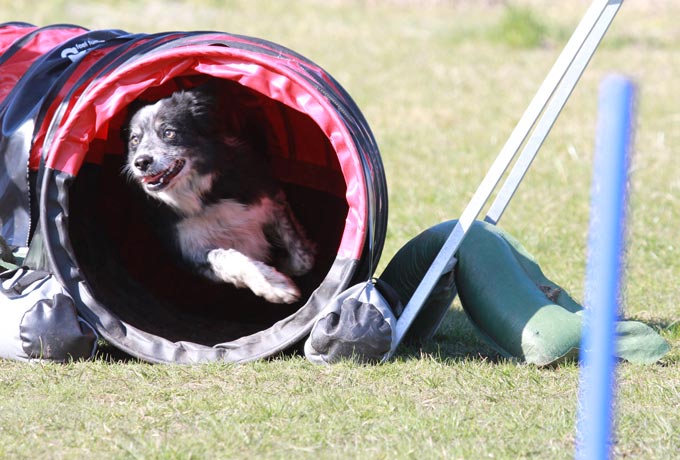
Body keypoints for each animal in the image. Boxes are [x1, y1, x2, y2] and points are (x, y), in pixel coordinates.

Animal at [123, 84, 314, 304]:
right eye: (134, 140)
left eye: (169, 132)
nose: (141, 162)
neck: (204, 197)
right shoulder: (191, 253)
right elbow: (228, 258)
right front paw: (274, 286)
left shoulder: (270, 198)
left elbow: (302, 257)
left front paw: (286, 267)